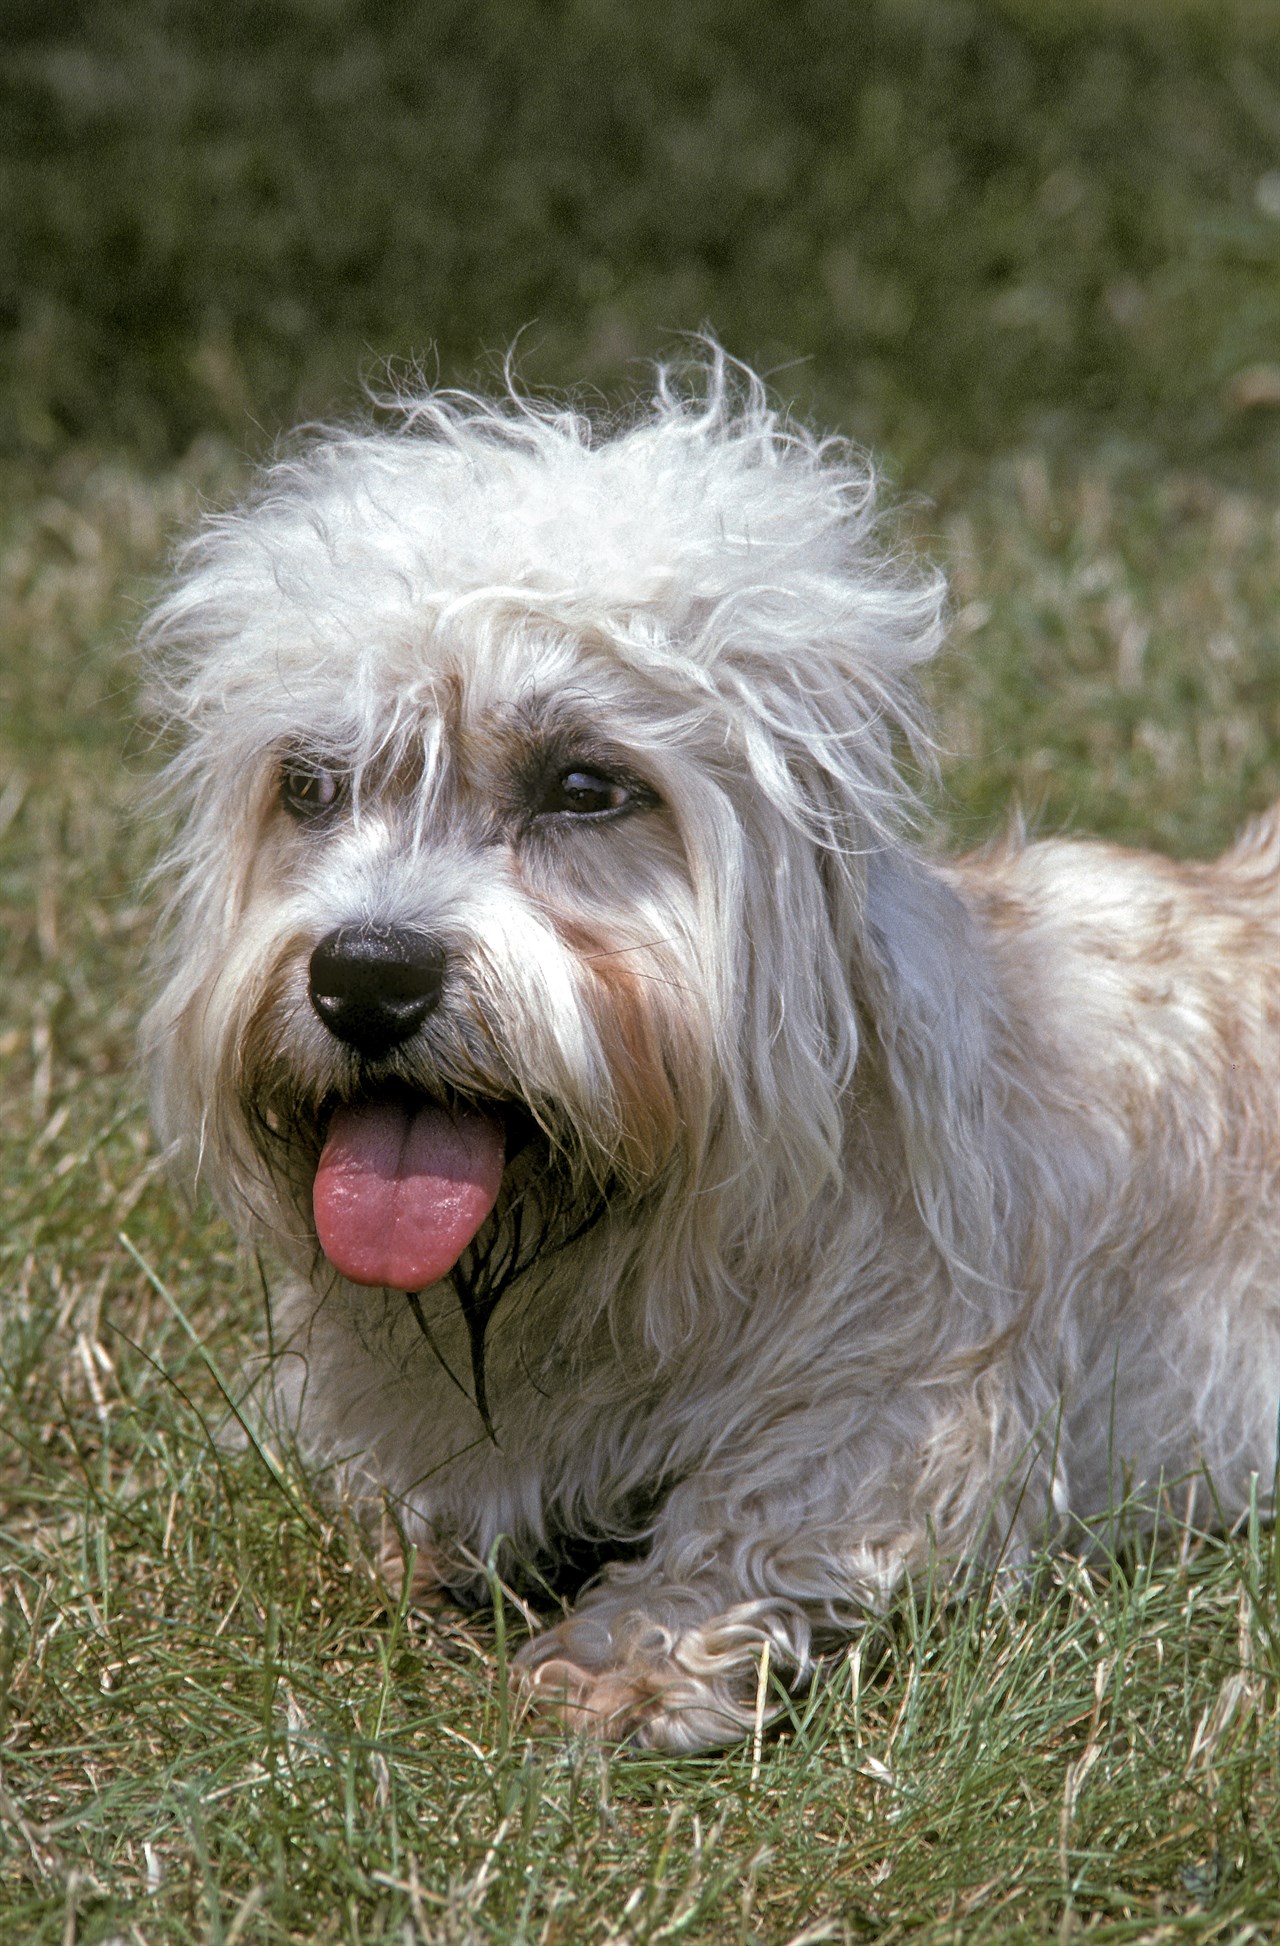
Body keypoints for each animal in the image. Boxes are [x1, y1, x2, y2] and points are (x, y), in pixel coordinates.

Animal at [142, 358, 1276, 1759]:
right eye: (310, 783)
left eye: (585, 786)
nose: (364, 978)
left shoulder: (924, 1398)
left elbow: (761, 1510)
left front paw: (627, 1653)